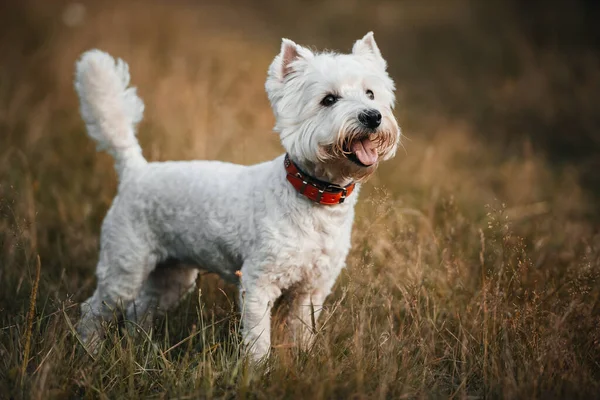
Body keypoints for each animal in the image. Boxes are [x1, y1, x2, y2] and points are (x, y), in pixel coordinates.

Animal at [76, 32, 404, 360]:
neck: (313, 196)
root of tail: (135, 170)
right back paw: (90, 353)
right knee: (93, 311)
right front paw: (257, 368)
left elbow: (302, 333)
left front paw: (302, 360)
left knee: (139, 309)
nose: (372, 116)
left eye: (371, 94)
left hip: (172, 275)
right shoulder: (259, 281)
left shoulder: (312, 288)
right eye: (329, 99)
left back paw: (138, 346)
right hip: (125, 265)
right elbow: (258, 341)